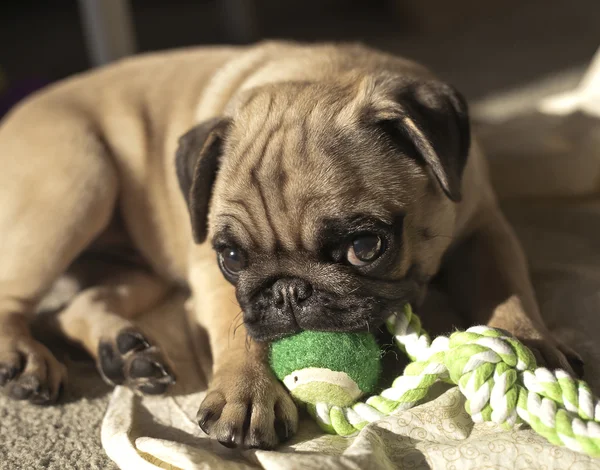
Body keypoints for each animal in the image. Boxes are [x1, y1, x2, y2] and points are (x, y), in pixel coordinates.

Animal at [0, 40, 580, 448]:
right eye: (232, 257)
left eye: (365, 246)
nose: (287, 291)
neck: (321, 74)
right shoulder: (209, 276)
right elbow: (237, 332)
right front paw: (248, 391)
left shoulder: (483, 226)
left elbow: (507, 287)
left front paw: (528, 346)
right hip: (78, 180)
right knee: (18, 299)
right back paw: (25, 360)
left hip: (124, 254)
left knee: (76, 304)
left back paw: (126, 353)